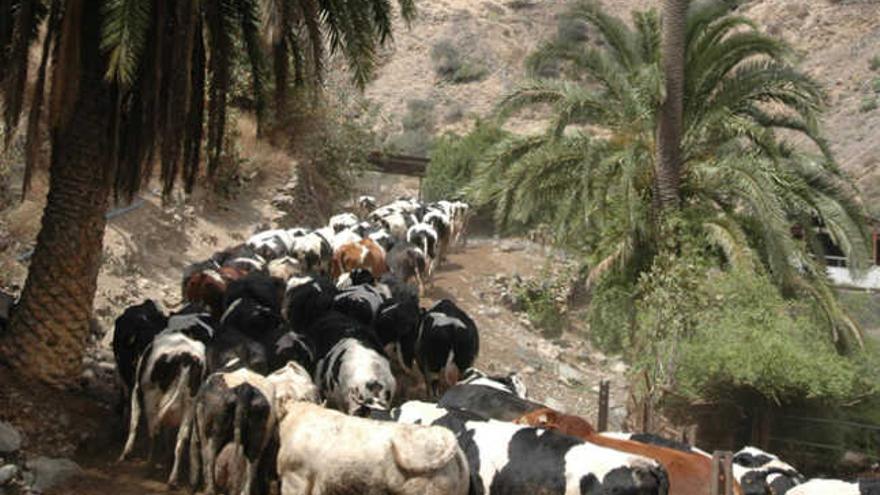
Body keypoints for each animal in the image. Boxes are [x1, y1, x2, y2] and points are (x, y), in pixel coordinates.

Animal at [119, 332, 207, 486]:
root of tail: (187, 358)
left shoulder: (137, 390)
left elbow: (134, 423)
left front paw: (126, 452)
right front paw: (167, 457)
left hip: (152, 395)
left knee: (154, 430)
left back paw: (149, 467)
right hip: (190, 403)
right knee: (181, 438)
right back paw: (172, 479)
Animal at [189, 364, 276, 495]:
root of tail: (244, 388)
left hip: (216, 422)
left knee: (211, 453)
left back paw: (211, 490)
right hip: (260, 421)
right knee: (253, 459)